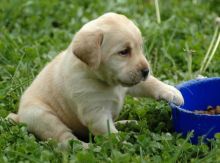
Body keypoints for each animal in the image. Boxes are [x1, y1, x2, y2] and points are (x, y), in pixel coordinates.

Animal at [6, 12, 183, 148]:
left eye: (140, 48)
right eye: (124, 52)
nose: (146, 71)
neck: (107, 81)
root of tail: (19, 116)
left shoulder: (130, 82)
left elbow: (151, 83)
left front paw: (172, 92)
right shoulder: (96, 113)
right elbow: (110, 134)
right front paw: (124, 145)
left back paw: (128, 122)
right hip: (42, 116)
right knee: (65, 140)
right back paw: (84, 148)